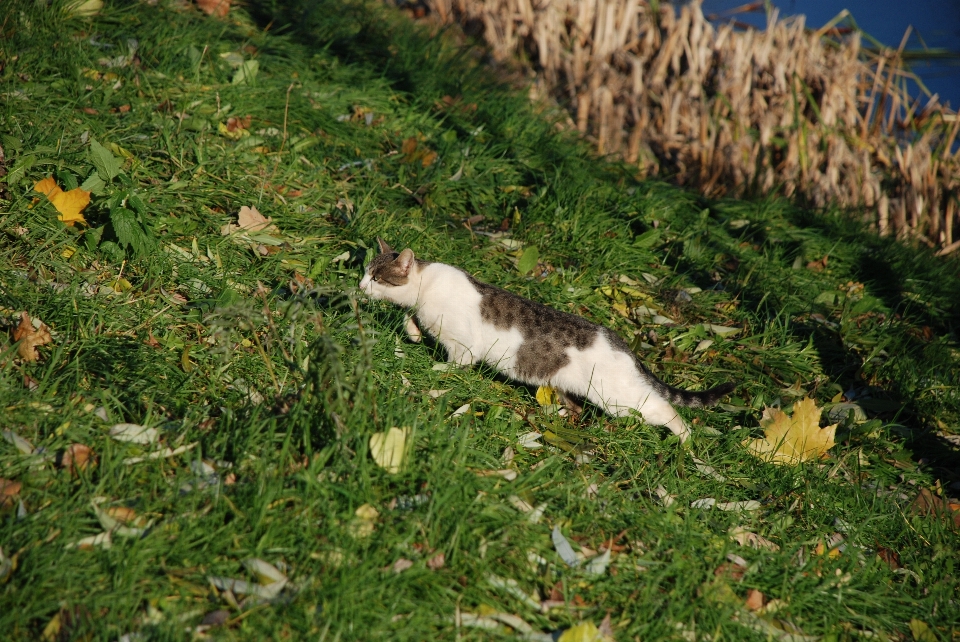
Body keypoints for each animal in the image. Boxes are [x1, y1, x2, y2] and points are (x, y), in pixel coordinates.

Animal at [360, 238, 736, 442]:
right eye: (366, 272)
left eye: (377, 278)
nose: (360, 286)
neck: (427, 289)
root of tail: (623, 344)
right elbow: (409, 318)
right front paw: (412, 331)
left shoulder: (463, 346)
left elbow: (456, 365)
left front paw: (440, 372)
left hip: (619, 398)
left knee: (664, 408)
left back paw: (685, 442)